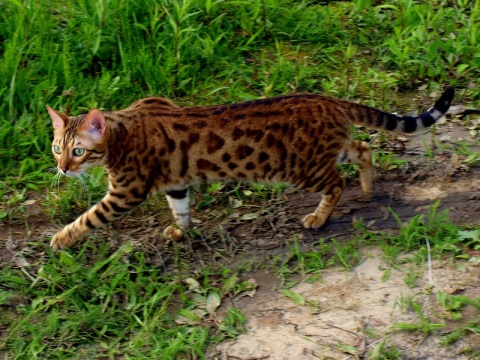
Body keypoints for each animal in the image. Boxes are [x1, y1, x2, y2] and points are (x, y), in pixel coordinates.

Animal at [47, 88, 456, 250]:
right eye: (56, 148)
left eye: (78, 151)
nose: (63, 169)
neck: (122, 129)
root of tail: (329, 100)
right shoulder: (176, 184)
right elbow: (181, 210)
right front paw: (180, 232)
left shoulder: (125, 192)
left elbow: (88, 218)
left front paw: (60, 239)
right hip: (332, 149)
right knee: (364, 148)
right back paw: (369, 188)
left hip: (303, 167)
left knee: (337, 183)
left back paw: (319, 217)